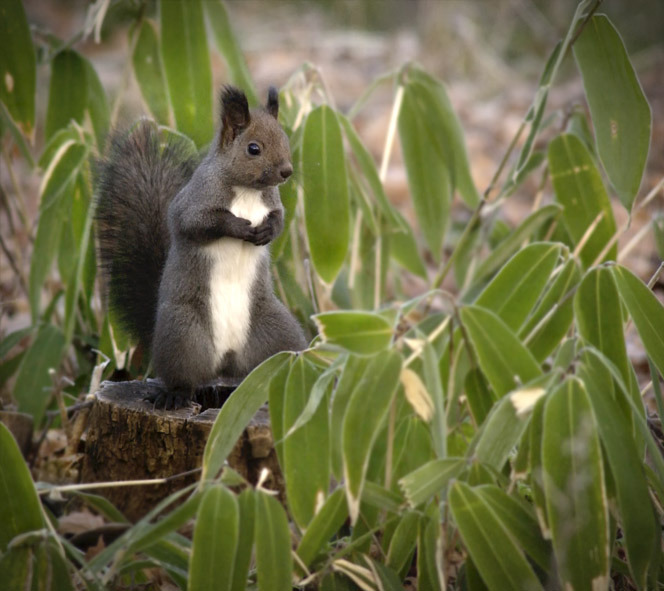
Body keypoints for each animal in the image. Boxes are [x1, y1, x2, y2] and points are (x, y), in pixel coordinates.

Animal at [95, 86, 306, 412]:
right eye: (253, 148)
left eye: (284, 138)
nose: (286, 171)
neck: (248, 191)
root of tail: (225, 363)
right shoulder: (194, 202)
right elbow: (197, 222)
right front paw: (239, 227)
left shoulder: (273, 203)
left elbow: (279, 219)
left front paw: (267, 230)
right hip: (184, 334)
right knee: (183, 376)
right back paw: (174, 395)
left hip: (277, 334)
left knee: (281, 358)